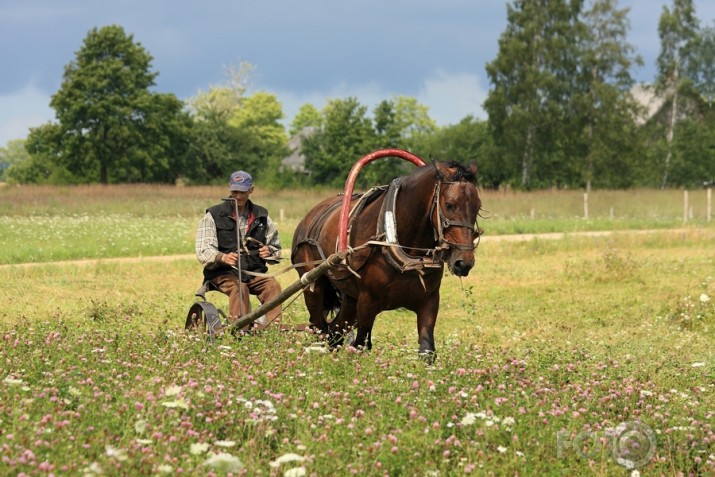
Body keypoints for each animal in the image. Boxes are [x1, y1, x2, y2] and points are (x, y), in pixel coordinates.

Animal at [290, 159, 482, 360]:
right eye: (450, 205)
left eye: (477, 206)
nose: (464, 262)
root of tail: (308, 217)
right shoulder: (367, 302)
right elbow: (360, 345)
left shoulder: (429, 301)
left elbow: (427, 349)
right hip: (313, 285)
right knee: (319, 327)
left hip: (349, 297)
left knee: (335, 331)